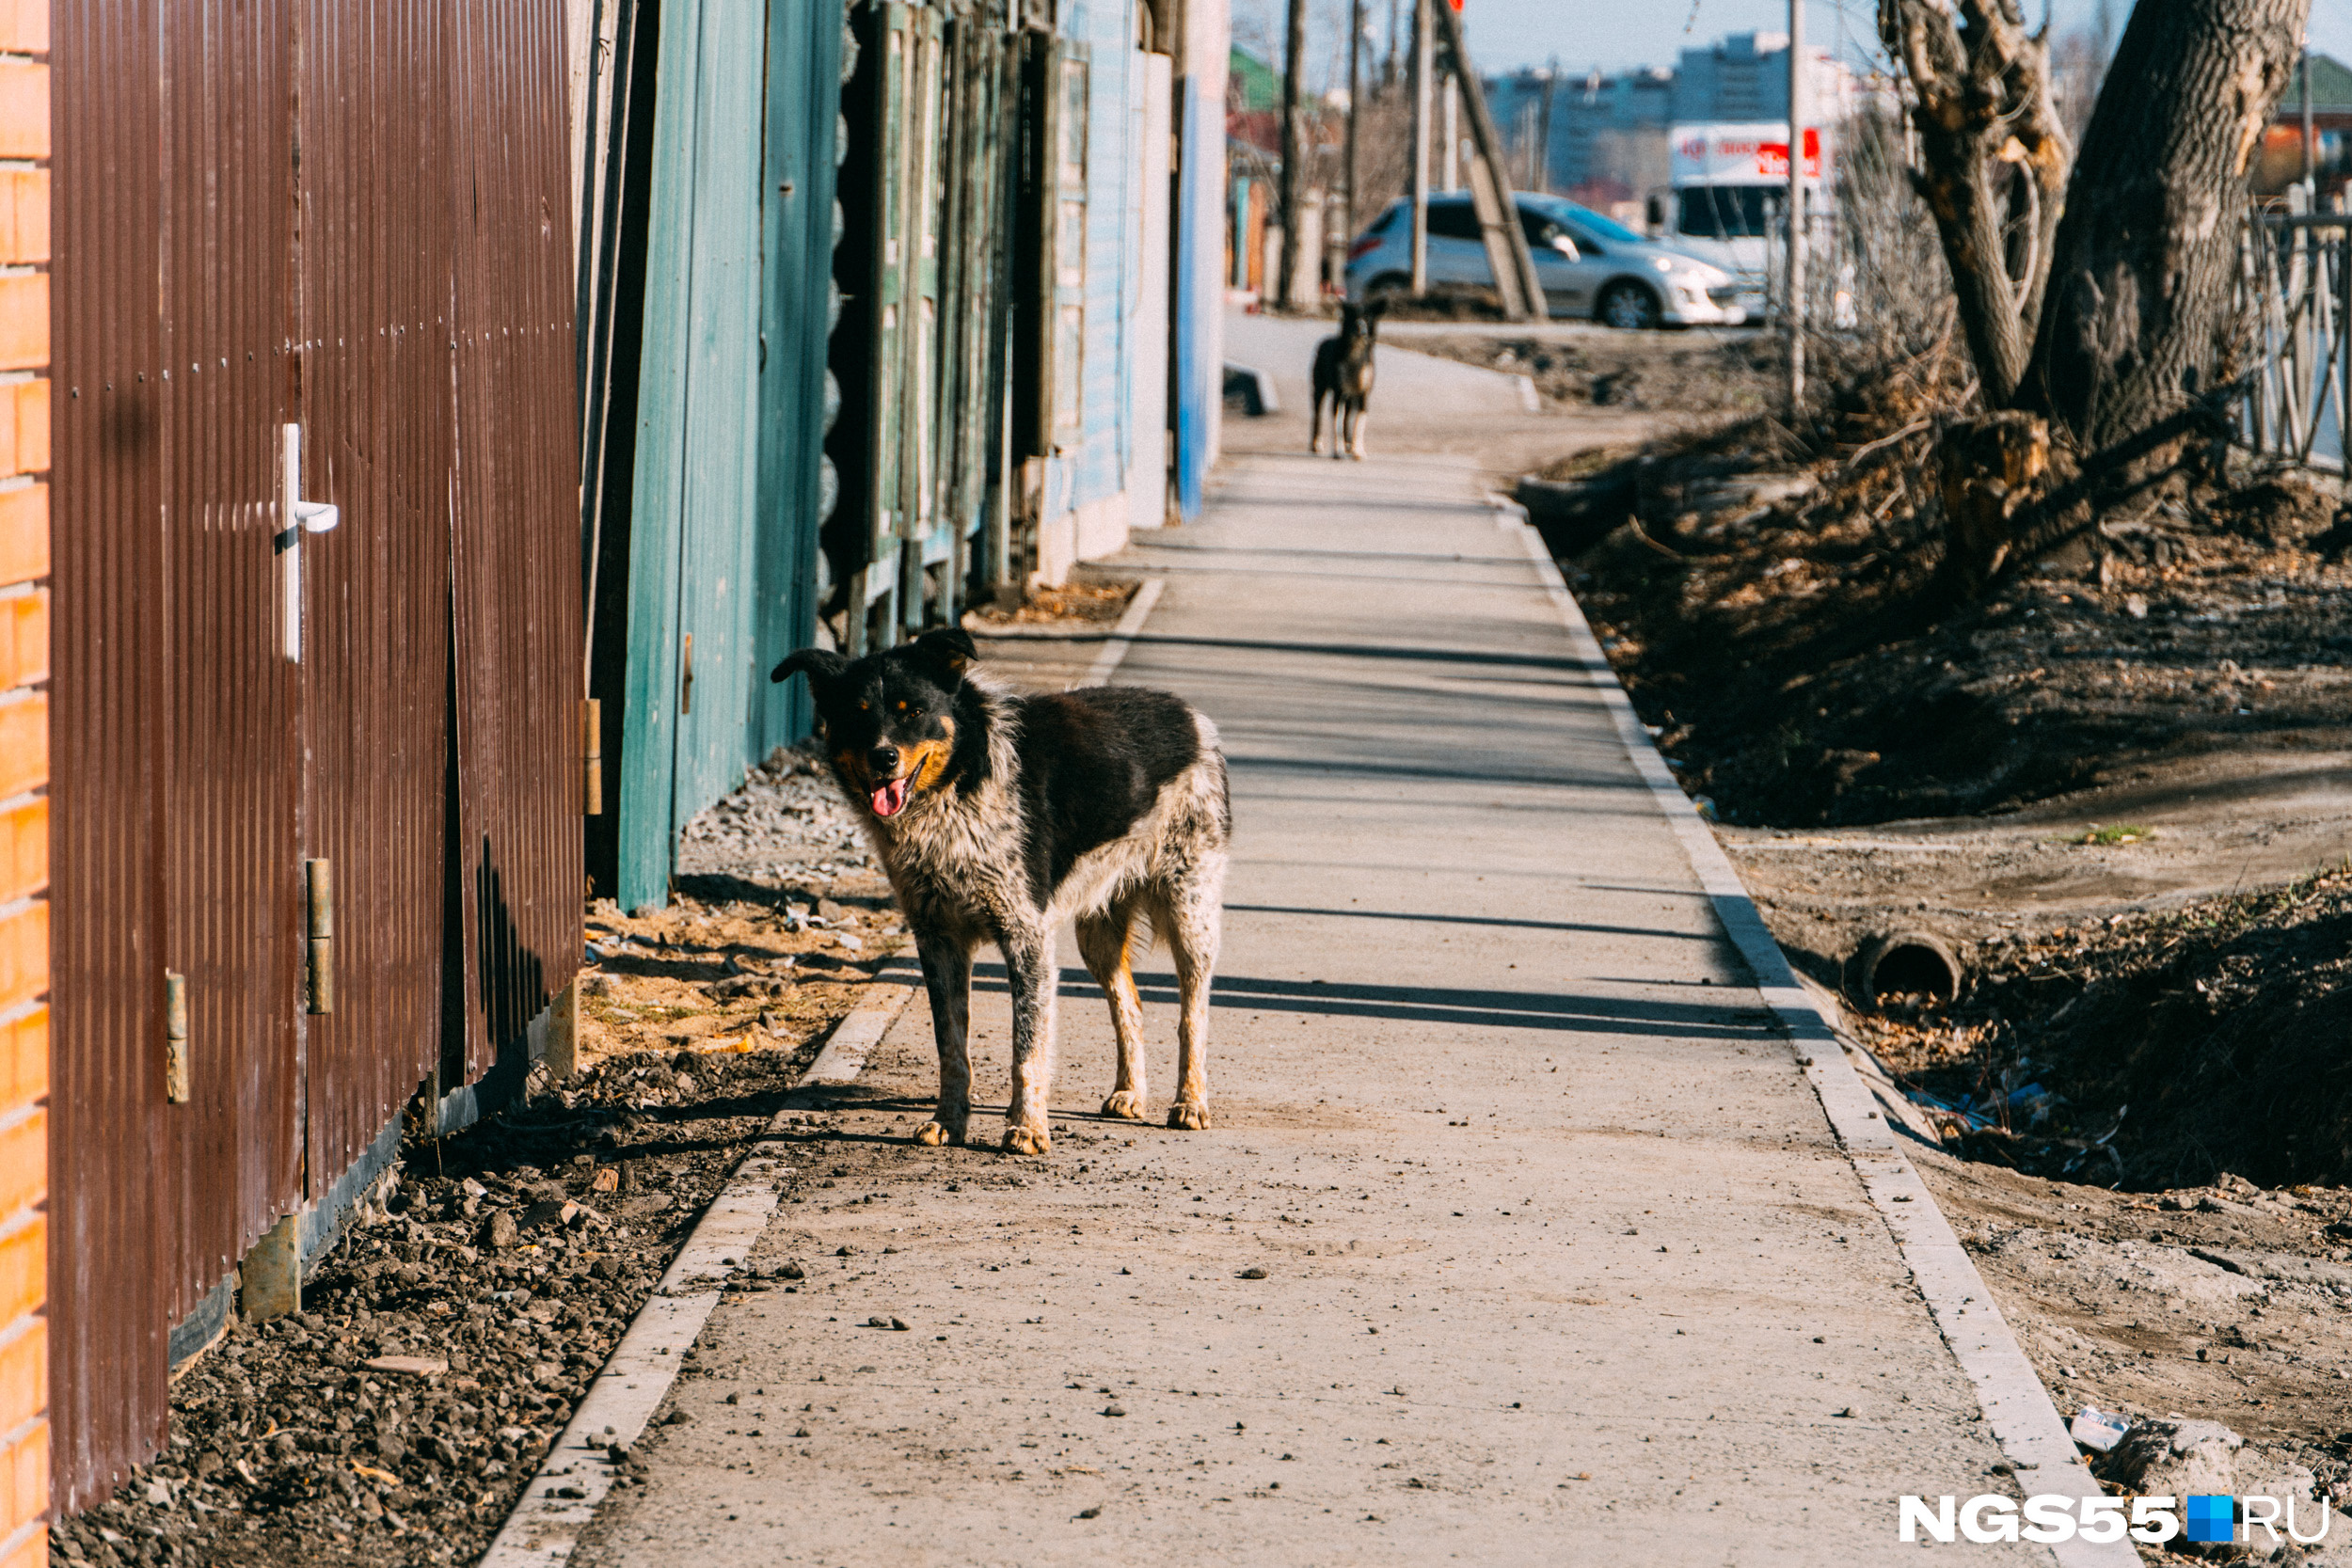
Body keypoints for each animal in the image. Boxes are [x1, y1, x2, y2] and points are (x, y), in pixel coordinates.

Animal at [781, 625, 1242, 1151]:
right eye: (857, 715)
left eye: (913, 711)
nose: (883, 757)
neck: (957, 789)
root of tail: (1190, 714)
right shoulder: (938, 941)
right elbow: (951, 1047)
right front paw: (949, 1121)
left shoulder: (1026, 937)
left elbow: (1027, 1047)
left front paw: (1027, 1127)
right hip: (1098, 933)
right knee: (1130, 1003)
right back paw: (1129, 1092)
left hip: (1191, 912)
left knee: (1193, 1013)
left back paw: (1190, 1101)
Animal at [1308, 300, 1374, 460]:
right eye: (1353, 316)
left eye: (1368, 318)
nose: (1362, 330)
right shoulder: (1338, 391)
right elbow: (1336, 422)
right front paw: (1338, 451)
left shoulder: (1363, 394)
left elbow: (1358, 422)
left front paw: (1357, 451)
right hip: (1319, 388)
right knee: (1317, 414)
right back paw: (1316, 445)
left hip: (1349, 397)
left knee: (1347, 417)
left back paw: (1349, 445)